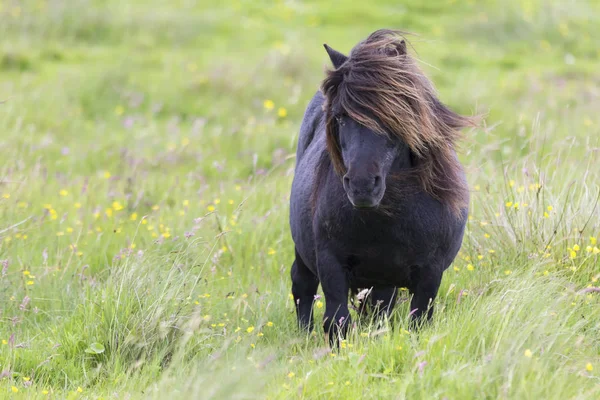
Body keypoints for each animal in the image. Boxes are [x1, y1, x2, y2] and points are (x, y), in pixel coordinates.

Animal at [288, 30, 476, 344]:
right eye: (340, 117)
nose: (362, 185)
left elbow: (418, 322)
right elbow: (336, 321)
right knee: (302, 287)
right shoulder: (330, 264)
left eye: (394, 114)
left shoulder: (430, 274)